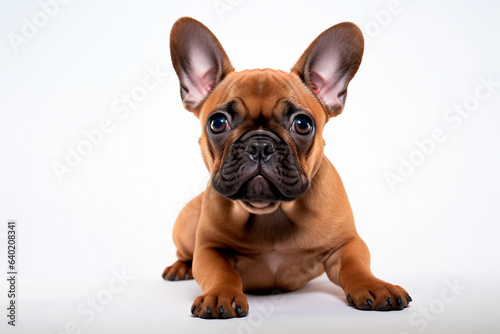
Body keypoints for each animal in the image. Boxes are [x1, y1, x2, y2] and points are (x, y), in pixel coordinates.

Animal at [164, 16, 410, 318]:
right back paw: (179, 268)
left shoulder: (348, 243)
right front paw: (220, 294)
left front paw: (375, 286)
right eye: (217, 123)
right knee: (185, 253)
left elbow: (356, 266)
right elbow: (219, 272)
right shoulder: (210, 248)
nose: (260, 145)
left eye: (302, 124)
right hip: (186, 225)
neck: (271, 214)